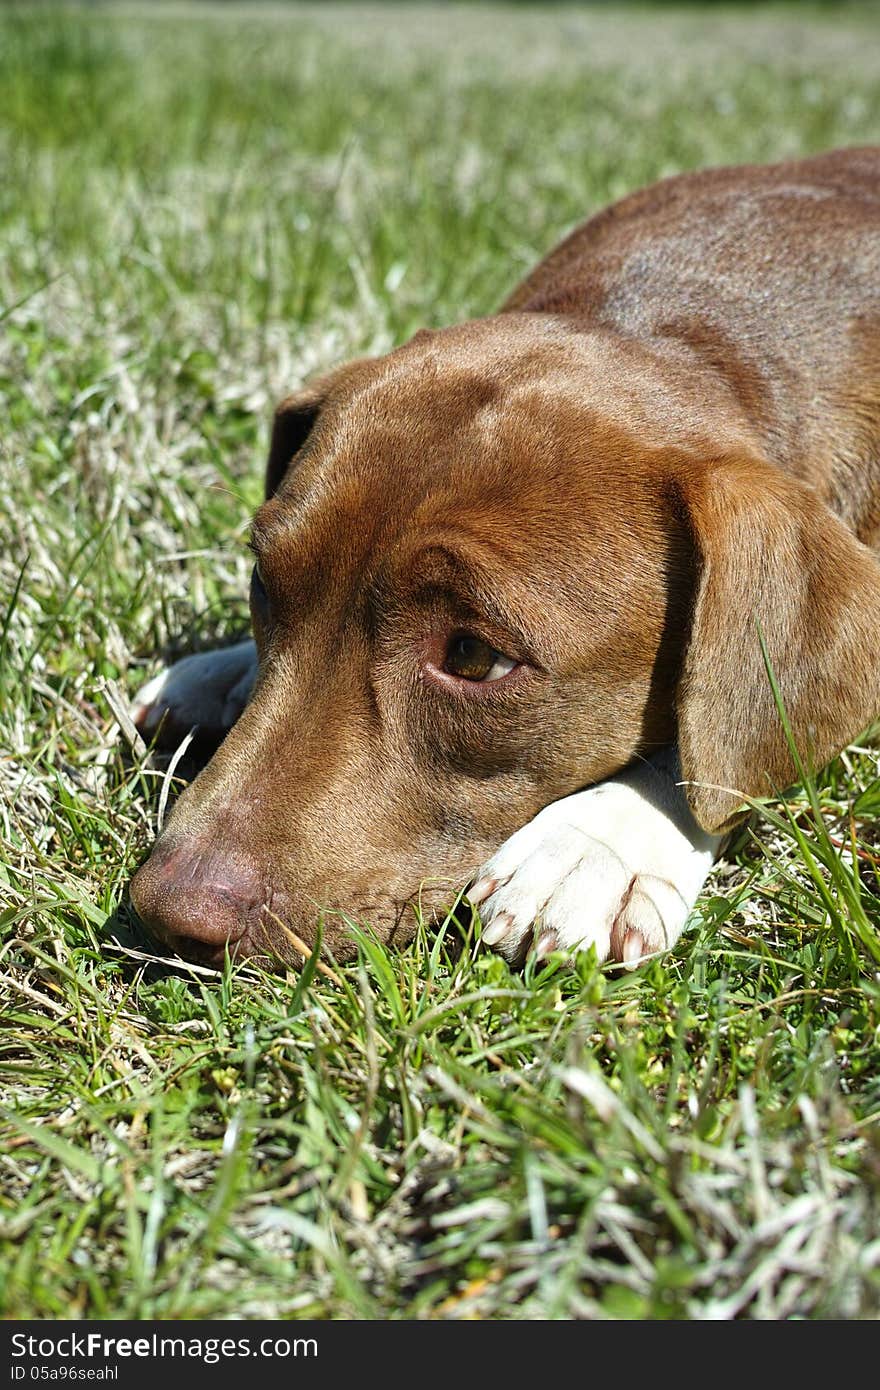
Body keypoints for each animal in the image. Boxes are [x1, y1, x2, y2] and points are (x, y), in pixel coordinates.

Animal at [128, 149, 878, 967]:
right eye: (264, 584)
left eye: (475, 658)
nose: (167, 912)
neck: (692, 331)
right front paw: (226, 664)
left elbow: (724, 747)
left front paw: (598, 841)